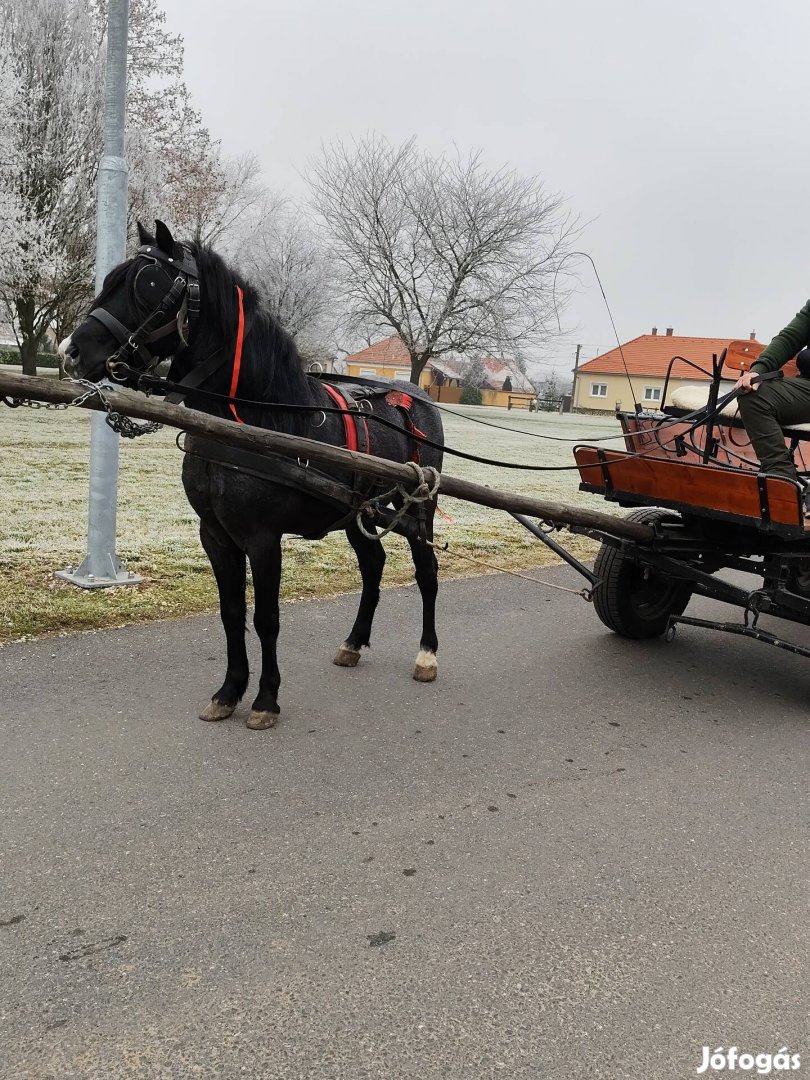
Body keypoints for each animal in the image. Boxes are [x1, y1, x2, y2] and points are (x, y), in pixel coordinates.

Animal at [62, 220, 444, 730]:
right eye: (110, 281)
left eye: (148, 284)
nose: (71, 351)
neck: (255, 417)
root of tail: (416, 396)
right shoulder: (215, 535)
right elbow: (231, 613)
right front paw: (229, 691)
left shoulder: (263, 538)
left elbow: (266, 618)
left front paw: (265, 699)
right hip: (358, 514)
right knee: (372, 565)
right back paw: (353, 642)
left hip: (419, 510)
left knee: (426, 571)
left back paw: (427, 653)